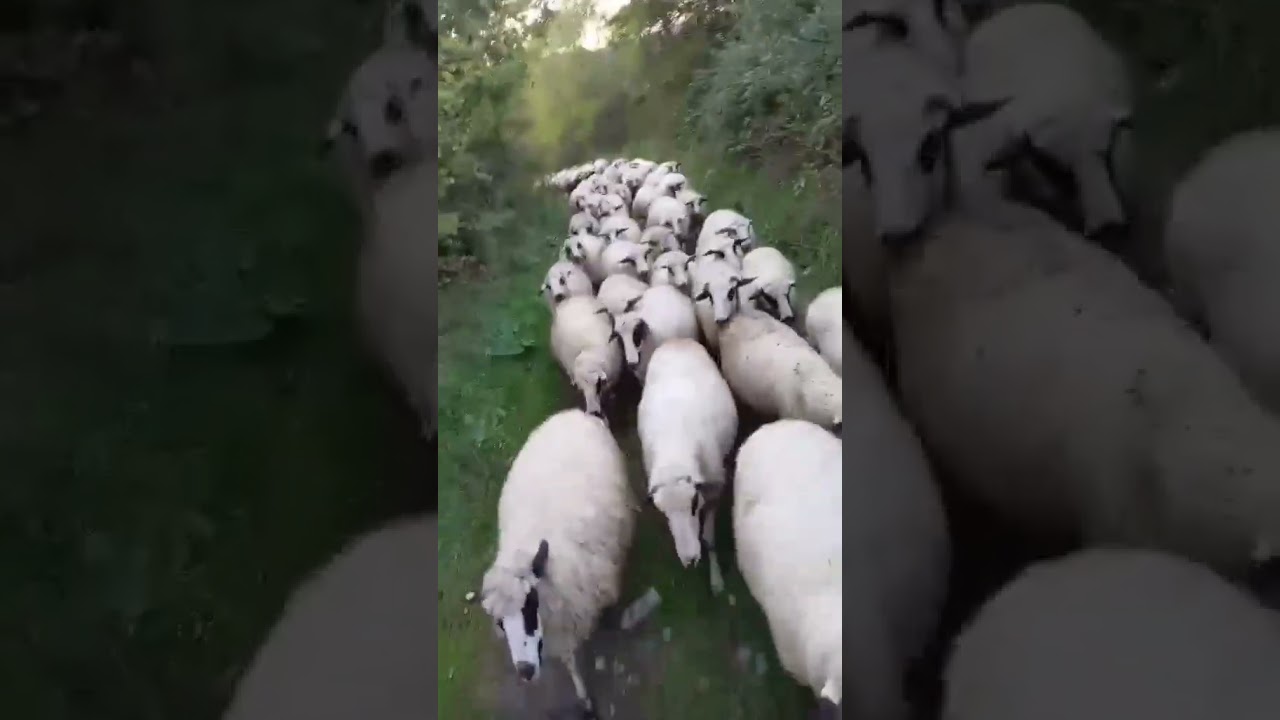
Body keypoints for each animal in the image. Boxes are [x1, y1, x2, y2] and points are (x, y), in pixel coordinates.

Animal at [480, 409, 636, 718]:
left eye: (529, 605)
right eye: (500, 623)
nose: (525, 671)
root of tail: (574, 413)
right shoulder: (560, 623)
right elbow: (568, 659)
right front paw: (584, 698)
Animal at [638, 339, 738, 595]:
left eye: (694, 504)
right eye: (663, 512)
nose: (690, 560)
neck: (674, 455)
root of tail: (675, 341)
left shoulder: (715, 489)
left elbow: (709, 541)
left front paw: (716, 581)